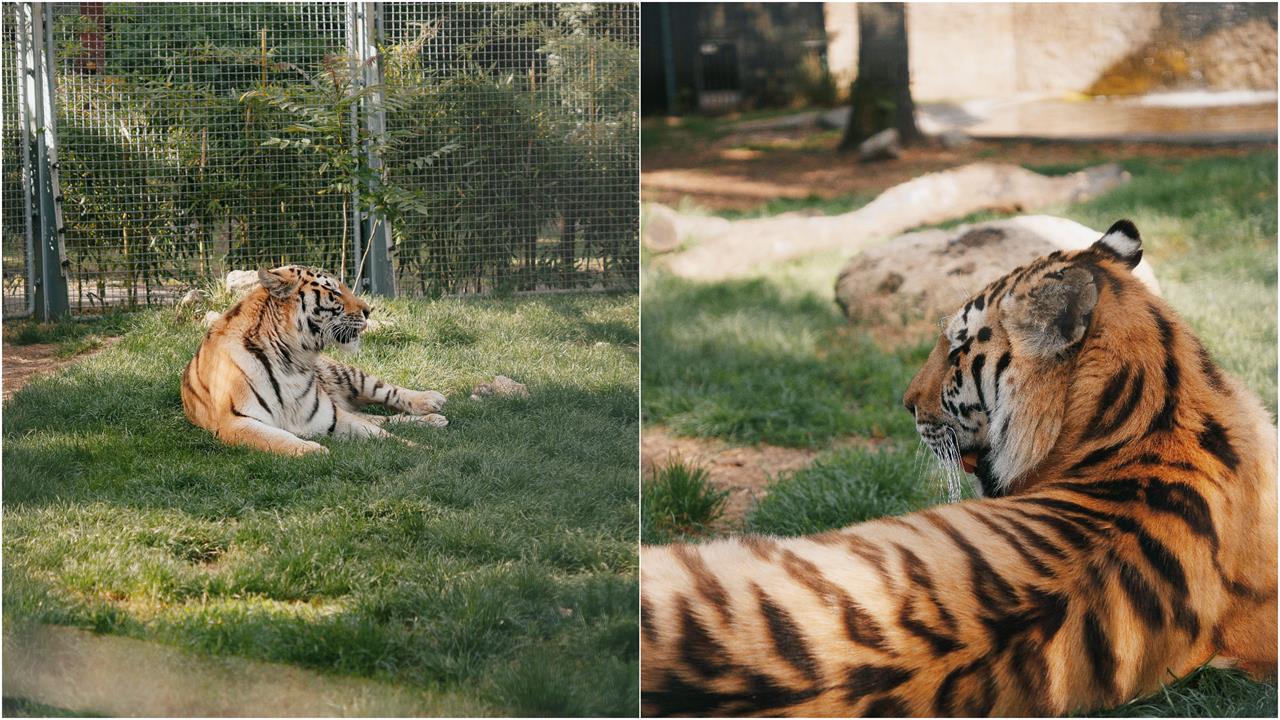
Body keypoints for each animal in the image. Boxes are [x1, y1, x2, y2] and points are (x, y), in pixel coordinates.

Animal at [181, 265, 449, 456]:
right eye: (335, 292)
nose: (368, 310)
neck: (292, 361)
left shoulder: (331, 416)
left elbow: (382, 433)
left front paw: (422, 449)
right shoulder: (237, 421)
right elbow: (277, 438)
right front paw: (311, 449)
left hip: (347, 374)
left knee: (387, 393)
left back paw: (432, 403)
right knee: (380, 417)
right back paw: (434, 419)